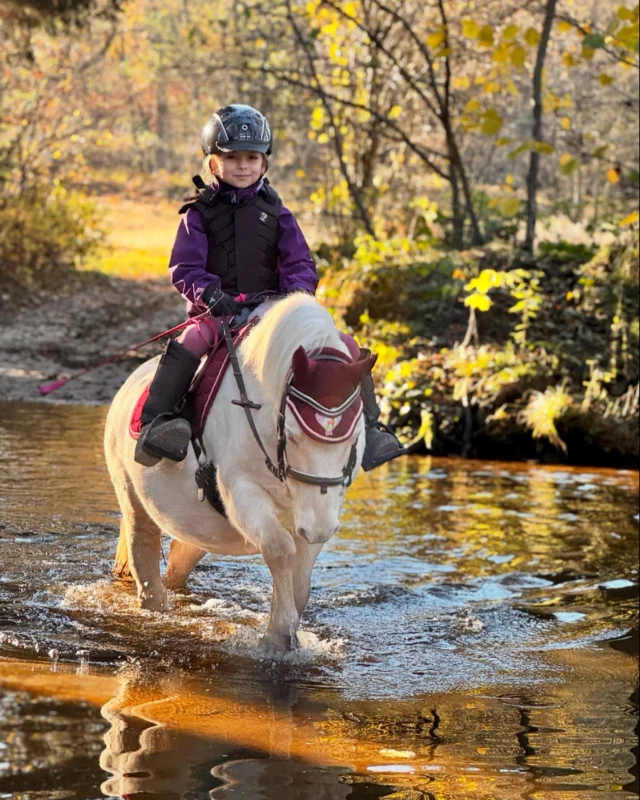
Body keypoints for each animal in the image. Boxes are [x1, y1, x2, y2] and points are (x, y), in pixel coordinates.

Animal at [104, 294, 376, 648]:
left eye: (355, 437)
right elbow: (280, 550)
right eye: (291, 435)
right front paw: (278, 636)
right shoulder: (241, 490)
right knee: (145, 559)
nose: (317, 528)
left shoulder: (322, 507)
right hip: (134, 500)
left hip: (200, 526)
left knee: (180, 557)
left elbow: (301, 579)